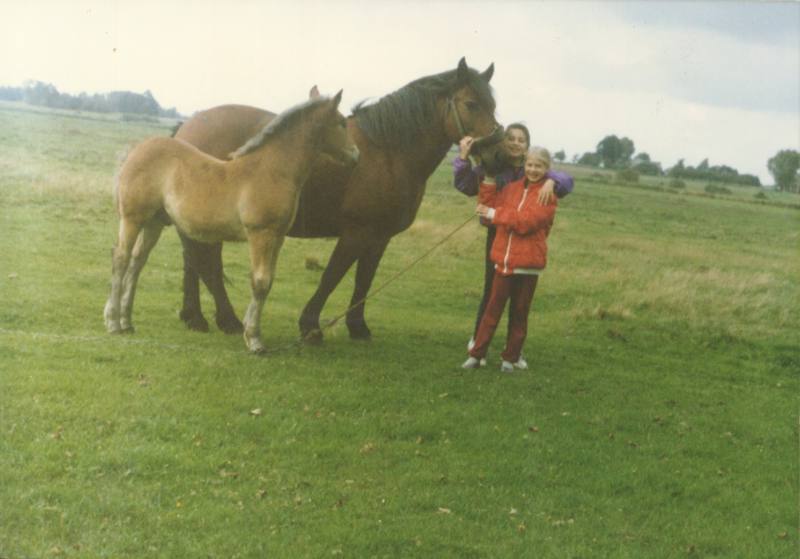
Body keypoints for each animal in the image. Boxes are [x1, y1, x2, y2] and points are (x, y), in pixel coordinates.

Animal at [104, 90, 359, 353]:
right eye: (342, 122)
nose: (355, 155)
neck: (271, 170)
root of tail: (136, 150)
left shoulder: (277, 238)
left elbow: (268, 281)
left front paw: (249, 329)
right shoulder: (260, 234)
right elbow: (260, 281)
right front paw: (254, 339)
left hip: (154, 222)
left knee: (137, 261)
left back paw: (127, 321)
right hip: (133, 218)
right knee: (121, 258)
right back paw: (113, 322)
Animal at [174, 57, 499, 343]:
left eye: (493, 105)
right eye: (471, 104)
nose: (496, 151)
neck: (388, 151)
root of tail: (187, 128)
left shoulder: (380, 237)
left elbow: (364, 280)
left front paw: (358, 327)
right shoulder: (356, 233)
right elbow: (332, 276)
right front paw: (310, 326)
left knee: (193, 262)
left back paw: (194, 317)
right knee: (206, 266)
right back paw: (227, 320)